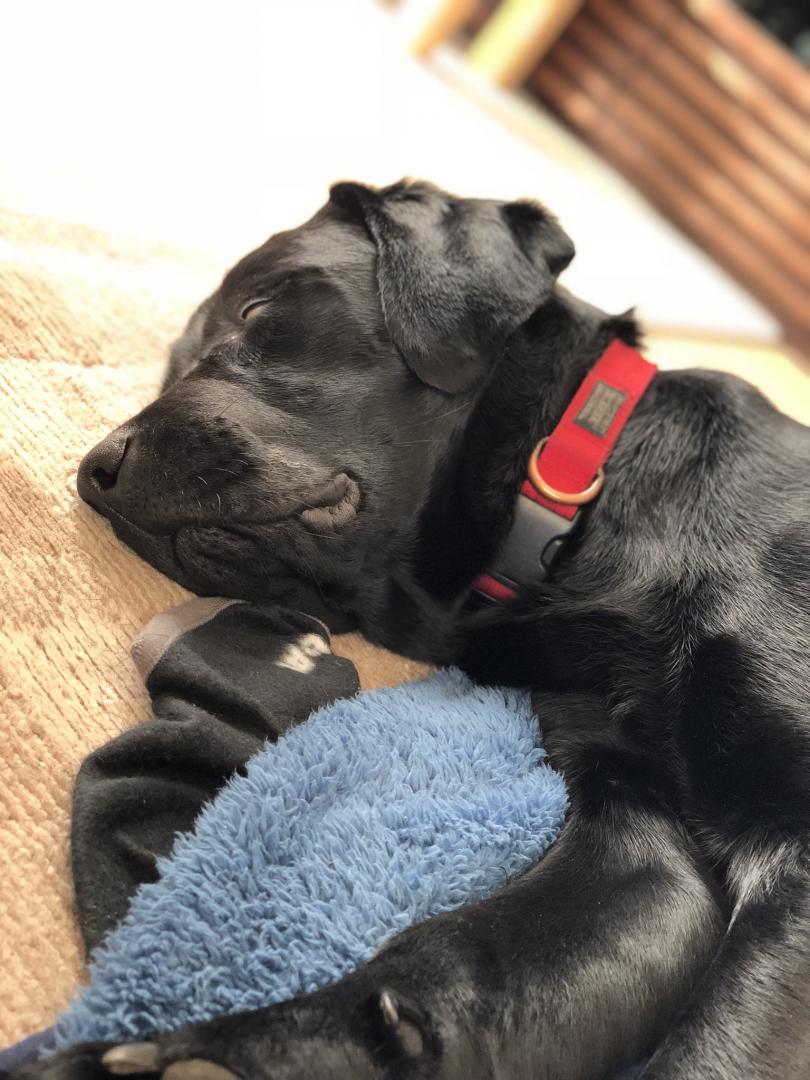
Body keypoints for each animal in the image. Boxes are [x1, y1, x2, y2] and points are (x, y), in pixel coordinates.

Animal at [24, 181, 810, 1079]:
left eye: (257, 309)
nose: (98, 471)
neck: (585, 502)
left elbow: (707, 1051)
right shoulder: (640, 838)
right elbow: (454, 966)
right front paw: (224, 1051)